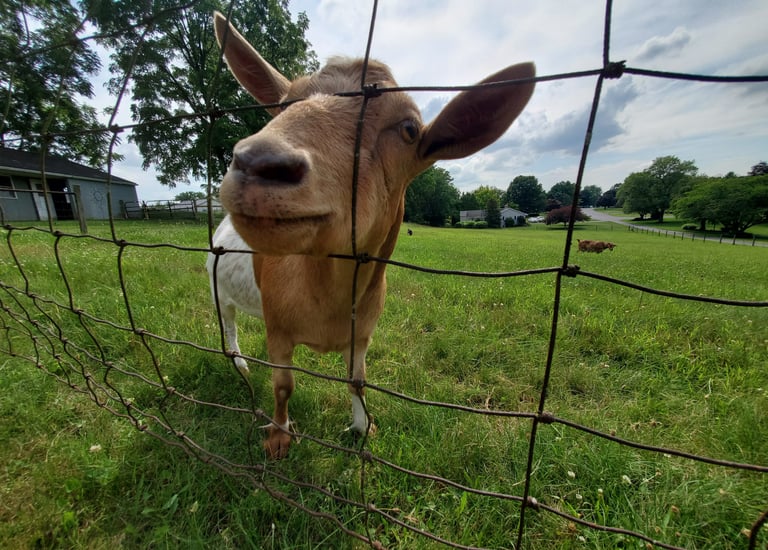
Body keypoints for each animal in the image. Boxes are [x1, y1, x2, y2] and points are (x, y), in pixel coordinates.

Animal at [206, 11, 535, 458]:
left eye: (409, 129)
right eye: (283, 103)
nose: (258, 162)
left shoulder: (362, 332)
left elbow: (357, 380)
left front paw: (364, 427)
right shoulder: (280, 331)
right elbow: (283, 385)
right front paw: (278, 437)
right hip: (216, 287)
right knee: (228, 323)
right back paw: (237, 361)